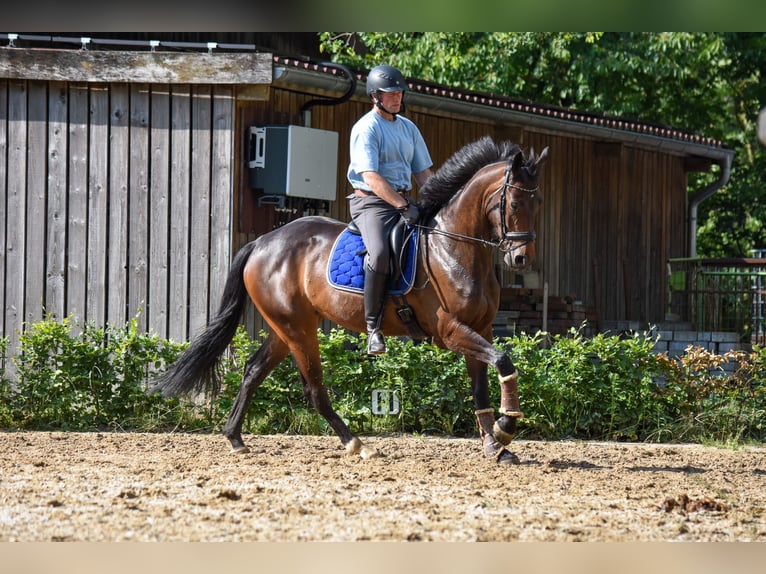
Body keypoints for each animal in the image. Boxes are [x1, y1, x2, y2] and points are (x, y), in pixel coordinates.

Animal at [152, 137, 544, 466]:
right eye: (513, 202)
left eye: (536, 202)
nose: (521, 259)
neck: (454, 248)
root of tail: (263, 242)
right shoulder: (450, 331)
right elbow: (504, 361)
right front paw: (507, 427)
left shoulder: (480, 328)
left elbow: (481, 387)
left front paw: (495, 446)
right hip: (298, 329)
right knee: (313, 388)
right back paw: (356, 443)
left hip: (286, 327)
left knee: (252, 372)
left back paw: (235, 438)